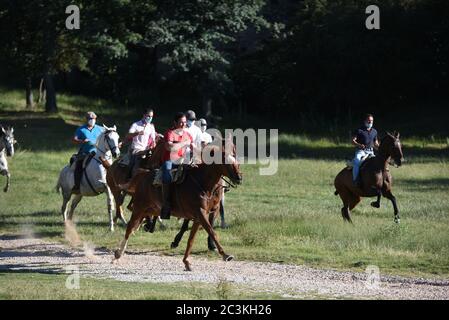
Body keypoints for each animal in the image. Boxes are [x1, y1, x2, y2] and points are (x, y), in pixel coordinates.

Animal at [114, 140, 243, 270]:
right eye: (225, 159)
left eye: (235, 157)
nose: (239, 177)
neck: (201, 182)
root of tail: (143, 174)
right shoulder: (200, 213)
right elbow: (212, 232)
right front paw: (225, 255)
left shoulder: (200, 216)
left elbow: (191, 239)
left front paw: (186, 261)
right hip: (139, 208)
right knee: (129, 227)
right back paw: (118, 253)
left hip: (152, 209)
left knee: (136, 223)